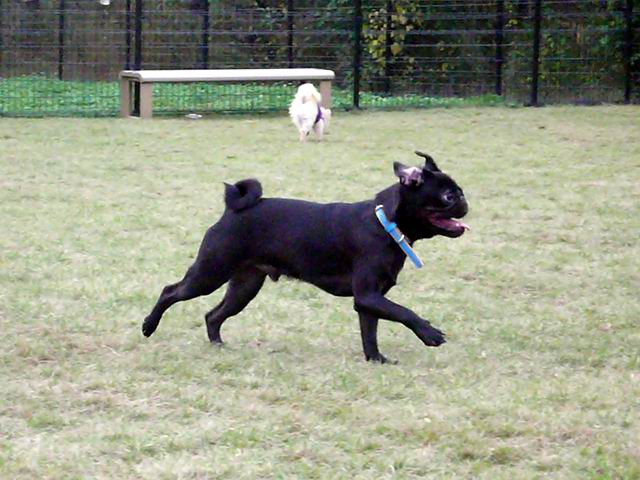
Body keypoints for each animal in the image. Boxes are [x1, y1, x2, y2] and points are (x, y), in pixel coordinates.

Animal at [142, 151, 469, 363]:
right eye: (448, 197)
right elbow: (404, 312)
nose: (465, 201)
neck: (385, 222)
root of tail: (233, 210)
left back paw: (218, 345)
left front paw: (376, 360)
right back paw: (148, 326)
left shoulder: (369, 300)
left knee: (213, 315)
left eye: (458, 192)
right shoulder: (368, 295)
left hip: (245, 287)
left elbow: (370, 332)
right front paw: (429, 333)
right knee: (170, 291)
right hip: (210, 273)